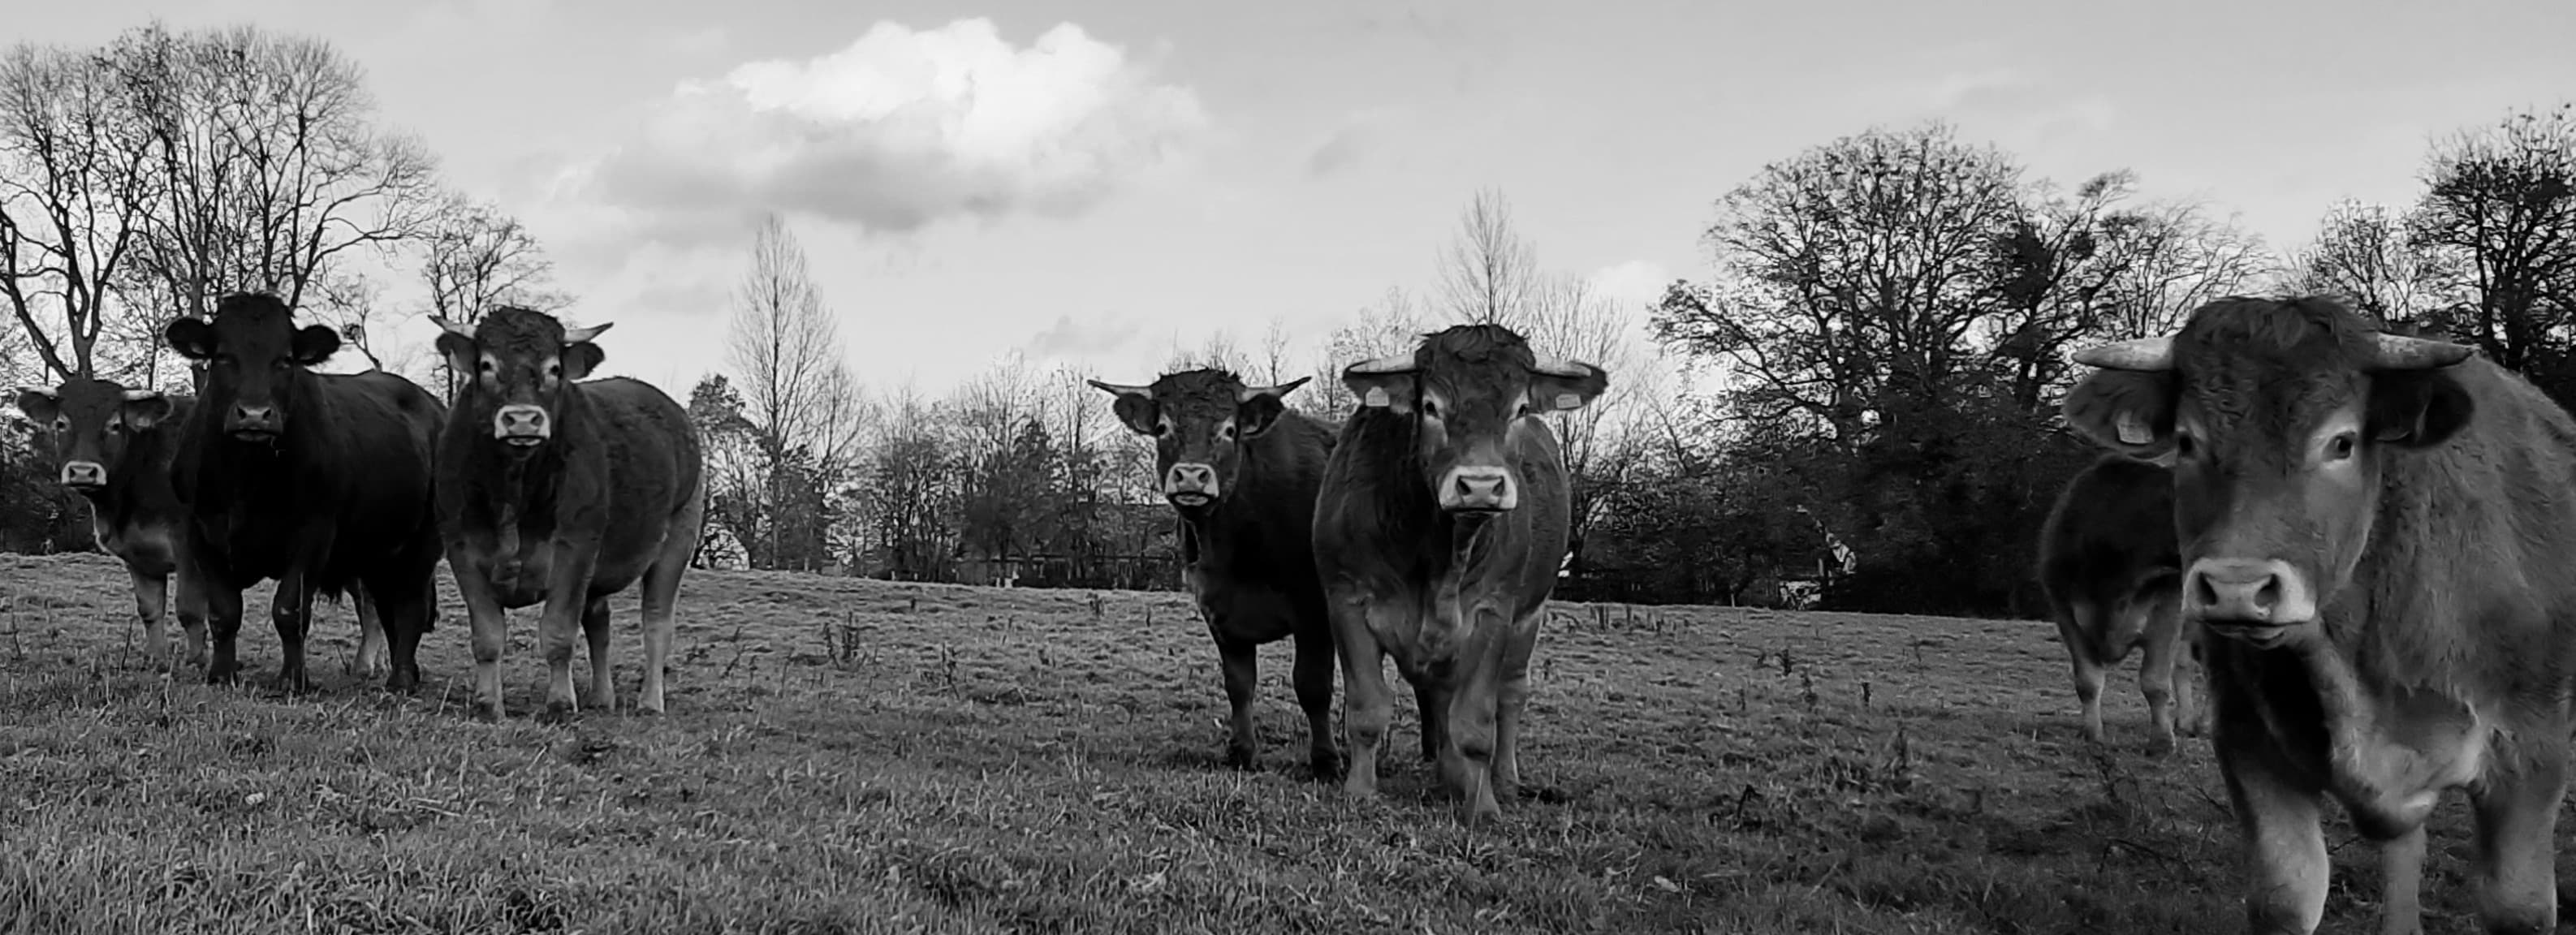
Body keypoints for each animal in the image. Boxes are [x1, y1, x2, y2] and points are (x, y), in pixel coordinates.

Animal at [161, 293, 445, 695]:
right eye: (223, 356)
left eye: (284, 360)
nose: (255, 415)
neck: (246, 479)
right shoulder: (203, 533)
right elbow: (224, 612)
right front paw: (221, 674)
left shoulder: (314, 534)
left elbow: (289, 610)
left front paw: (293, 679)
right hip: (379, 550)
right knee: (387, 609)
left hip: (423, 543)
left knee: (411, 607)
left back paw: (402, 679)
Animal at [427, 308, 705, 726]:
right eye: (487, 365)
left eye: (554, 369)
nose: (522, 420)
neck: (514, 487)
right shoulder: (462, 549)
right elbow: (487, 638)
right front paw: (488, 705)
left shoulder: (575, 548)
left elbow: (559, 633)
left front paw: (559, 704)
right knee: (599, 622)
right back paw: (602, 697)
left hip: (678, 537)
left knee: (657, 624)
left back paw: (650, 702)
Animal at [1081, 370, 1349, 778]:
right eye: (1163, 428)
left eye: (1229, 429)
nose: (1191, 477)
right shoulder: (1218, 610)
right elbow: (1239, 684)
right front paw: (1242, 752)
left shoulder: (1314, 611)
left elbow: (1312, 686)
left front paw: (1326, 762)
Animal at [1318, 325, 1597, 824]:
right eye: (1431, 406)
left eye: (1520, 408)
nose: (1481, 485)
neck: (1439, 553)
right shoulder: (1346, 601)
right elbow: (1368, 709)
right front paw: (1359, 792)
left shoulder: (1492, 613)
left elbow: (1476, 724)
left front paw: (1482, 806)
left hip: (1529, 618)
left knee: (1511, 695)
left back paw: (1502, 781)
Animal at [2040, 450, 2205, 757]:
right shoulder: (2065, 611)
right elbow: (2088, 680)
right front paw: (2093, 735)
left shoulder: (2168, 610)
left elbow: (2154, 682)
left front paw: (2161, 743)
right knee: (2186, 665)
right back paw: (2187, 723)